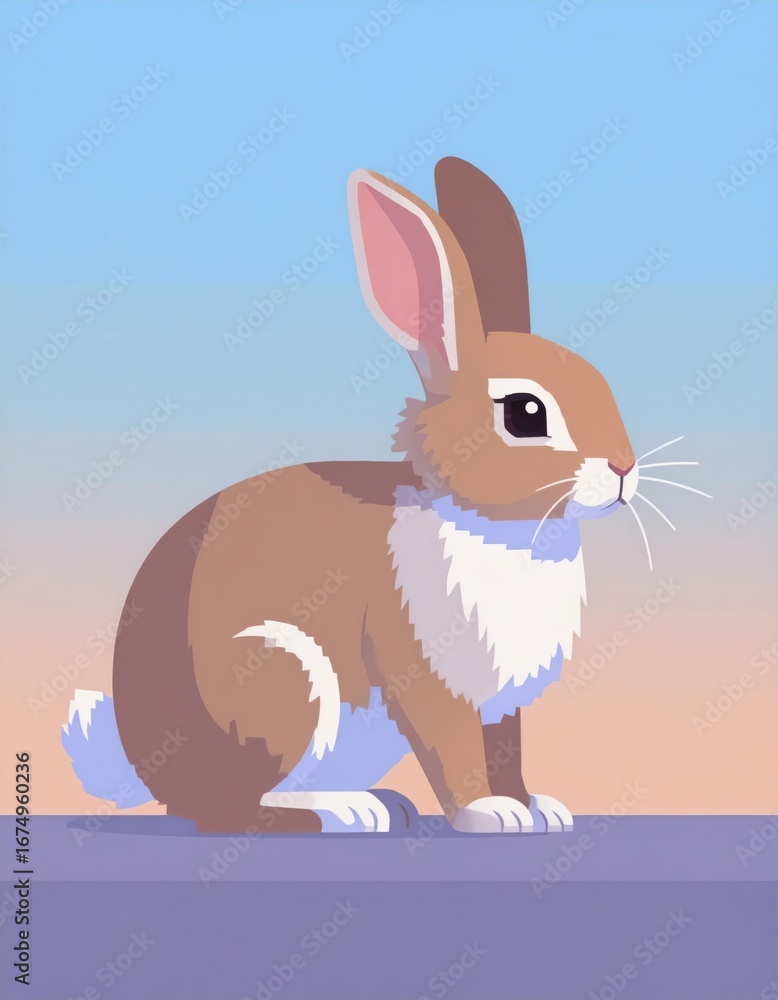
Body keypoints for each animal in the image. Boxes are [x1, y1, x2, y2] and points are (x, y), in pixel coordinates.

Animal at [63, 156, 642, 835]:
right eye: (526, 413)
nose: (625, 468)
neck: (498, 527)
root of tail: (149, 769)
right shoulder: (423, 675)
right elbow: (456, 753)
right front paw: (491, 814)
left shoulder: (500, 704)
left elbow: (508, 750)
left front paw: (537, 808)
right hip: (285, 678)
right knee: (237, 807)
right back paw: (346, 811)